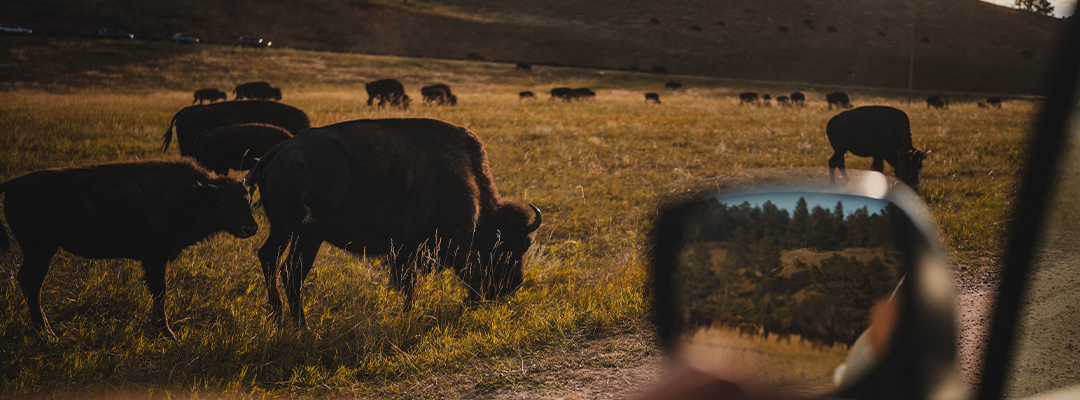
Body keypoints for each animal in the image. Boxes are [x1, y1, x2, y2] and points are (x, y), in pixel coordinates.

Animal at [0, 159, 257, 339]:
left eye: (247, 199)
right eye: (224, 201)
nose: (251, 228)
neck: (193, 194)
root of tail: (12, 184)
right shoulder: (155, 258)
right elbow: (160, 292)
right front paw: (167, 333)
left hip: (35, 252)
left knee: (25, 280)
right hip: (41, 250)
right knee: (32, 284)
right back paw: (48, 335)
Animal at [245, 118, 542, 328]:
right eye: (518, 244)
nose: (515, 282)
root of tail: (280, 150)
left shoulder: (404, 250)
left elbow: (408, 285)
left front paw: (407, 314)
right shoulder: (454, 243)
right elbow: (470, 275)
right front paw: (465, 307)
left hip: (282, 230)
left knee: (268, 257)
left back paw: (278, 318)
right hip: (308, 235)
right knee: (292, 272)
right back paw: (303, 328)